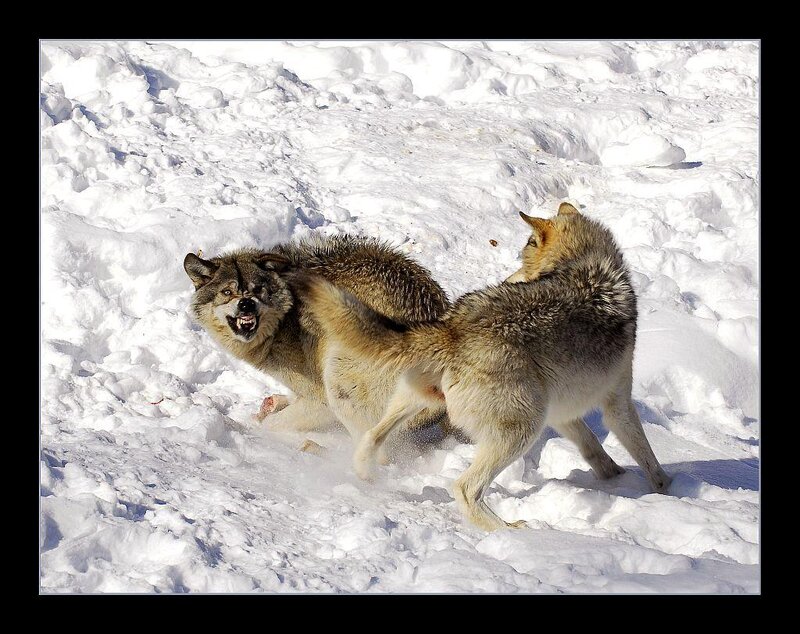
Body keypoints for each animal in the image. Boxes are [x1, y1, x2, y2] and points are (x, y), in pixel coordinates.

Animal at [183, 234, 452, 449]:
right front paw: (272, 404)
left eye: (257, 289)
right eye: (227, 292)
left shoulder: (320, 400)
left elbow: (273, 423)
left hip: (338, 382)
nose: (246, 304)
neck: (285, 320)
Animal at [298, 203, 673, 531]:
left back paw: (367, 475)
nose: (508, 278)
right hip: (521, 431)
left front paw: (616, 479)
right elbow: (647, 457)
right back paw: (511, 531)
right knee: (464, 488)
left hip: (417, 402)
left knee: (372, 437)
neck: (588, 266)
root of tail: (453, 328)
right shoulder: (617, 405)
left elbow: (594, 449)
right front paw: (670, 490)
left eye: (522, 262)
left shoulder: (563, 415)